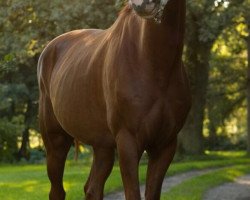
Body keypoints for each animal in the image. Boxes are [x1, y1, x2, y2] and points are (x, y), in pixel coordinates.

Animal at [37, 0, 190, 199]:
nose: (143, 4)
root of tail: (49, 49)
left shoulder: (165, 145)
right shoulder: (128, 142)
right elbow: (132, 193)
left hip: (102, 147)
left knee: (92, 188)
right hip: (56, 142)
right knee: (57, 191)